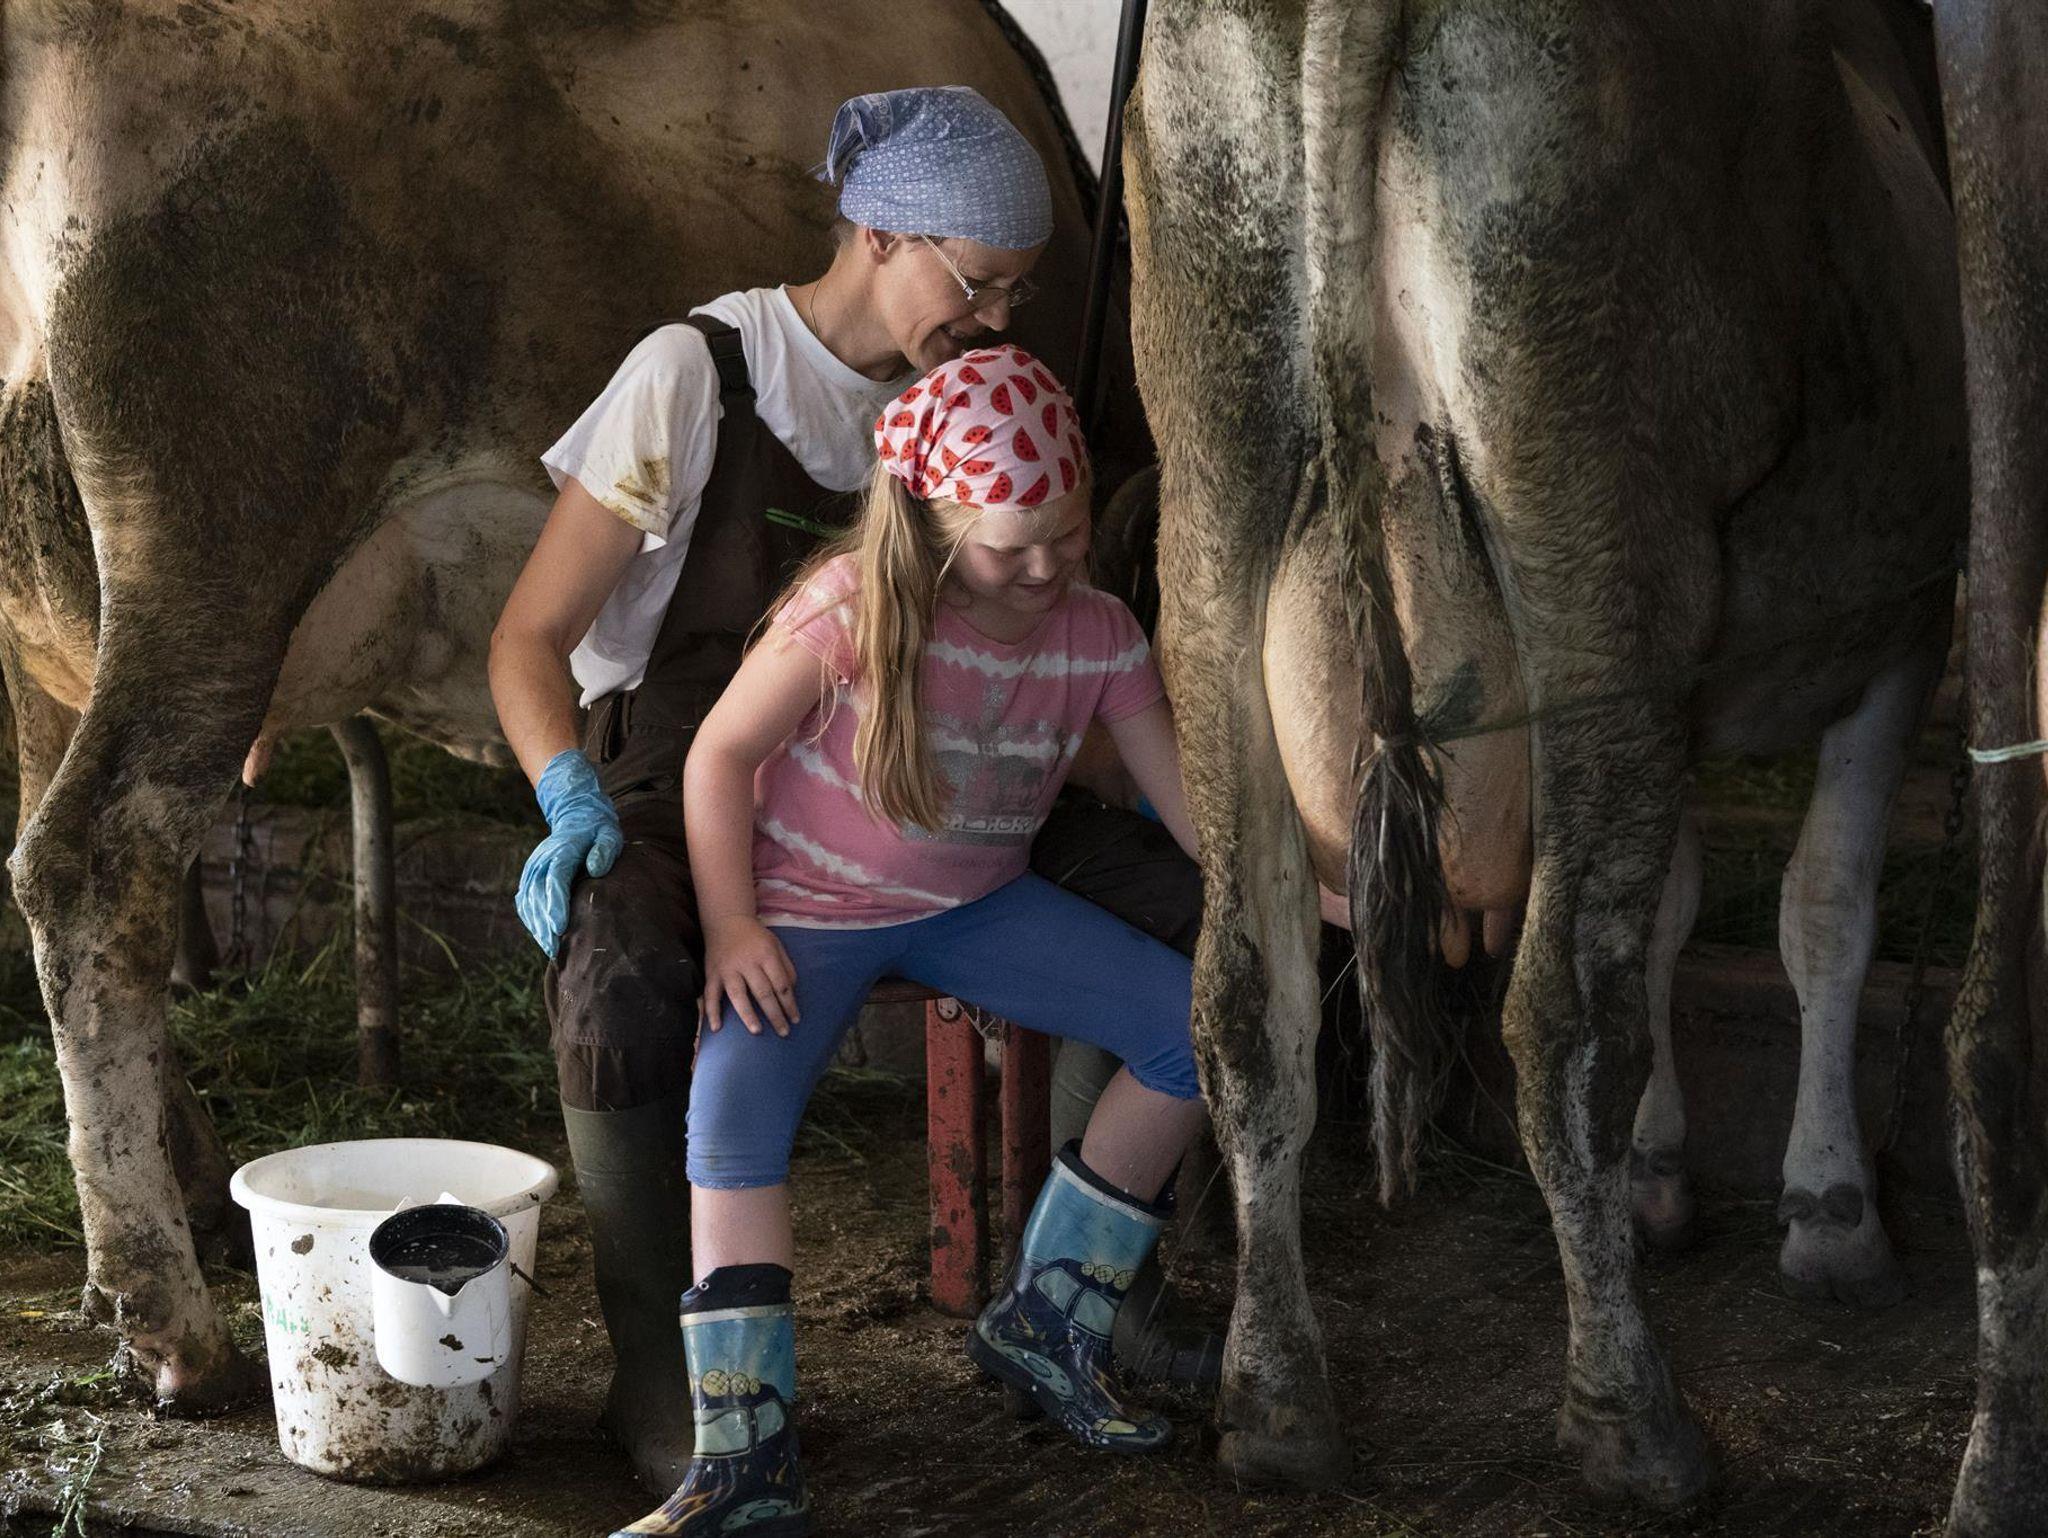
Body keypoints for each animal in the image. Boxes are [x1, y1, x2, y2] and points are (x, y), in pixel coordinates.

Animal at [1126, 0, 1962, 1505]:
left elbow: (1680, 905)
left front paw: (1665, 1178)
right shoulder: (1902, 621)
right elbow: (1822, 913)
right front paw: (1831, 1215)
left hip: (1209, 521)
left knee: (1246, 998)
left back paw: (1273, 1404)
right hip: (1597, 534)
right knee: (1567, 1008)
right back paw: (1631, 1419)